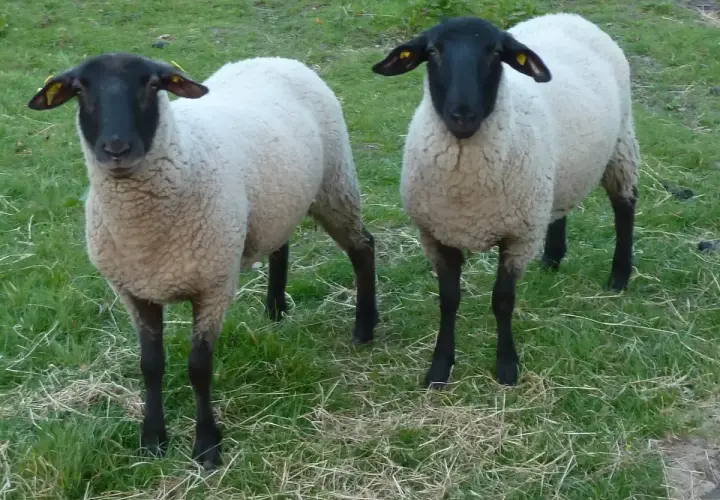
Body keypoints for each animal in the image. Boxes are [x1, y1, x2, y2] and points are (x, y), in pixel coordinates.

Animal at [27, 52, 379, 469]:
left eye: (152, 85)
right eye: (80, 89)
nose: (116, 148)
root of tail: (276, 57)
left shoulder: (213, 286)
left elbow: (199, 368)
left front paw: (207, 446)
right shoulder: (134, 292)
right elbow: (150, 365)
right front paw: (153, 439)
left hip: (335, 184)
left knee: (363, 248)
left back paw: (365, 327)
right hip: (279, 202)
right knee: (281, 245)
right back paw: (275, 308)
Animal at [371, 14, 640, 388]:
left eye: (496, 52)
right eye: (433, 51)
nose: (463, 115)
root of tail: (568, 16)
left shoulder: (518, 236)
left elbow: (502, 300)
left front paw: (507, 366)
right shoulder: (436, 235)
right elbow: (448, 300)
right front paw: (439, 369)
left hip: (621, 144)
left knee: (625, 206)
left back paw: (619, 276)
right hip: (555, 175)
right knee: (560, 207)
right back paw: (552, 258)